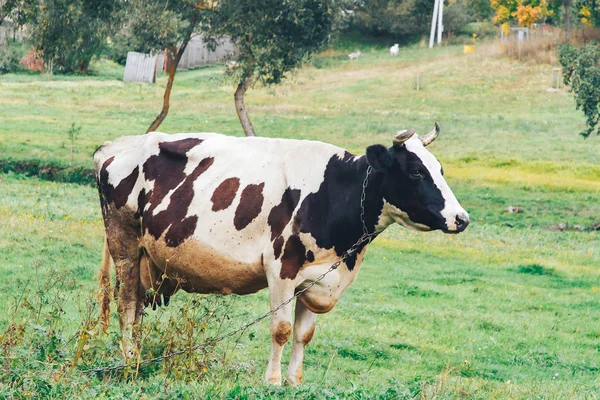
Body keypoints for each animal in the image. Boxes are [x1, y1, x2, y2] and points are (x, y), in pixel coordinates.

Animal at [94, 124, 468, 384]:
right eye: (416, 171)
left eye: (440, 169)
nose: (462, 218)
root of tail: (114, 146)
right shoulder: (281, 270)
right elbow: (282, 329)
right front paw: (272, 380)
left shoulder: (318, 279)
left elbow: (304, 334)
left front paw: (294, 381)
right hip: (125, 246)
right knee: (127, 307)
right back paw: (131, 362)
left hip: (147, 258)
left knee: (138, 312)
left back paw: (140, 356)